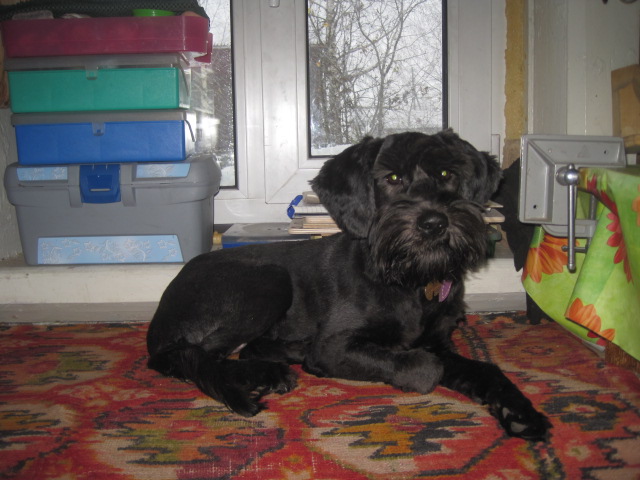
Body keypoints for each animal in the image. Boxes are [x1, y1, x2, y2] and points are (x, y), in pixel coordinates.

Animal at [146, 130, 550, 441]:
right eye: (391, 178)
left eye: (447, 172)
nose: (434, 222)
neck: (409, 281)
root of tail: (161, 312)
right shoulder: (334, 346)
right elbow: (423, 366)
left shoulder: (438, 342)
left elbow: (486, 369)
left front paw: (520, 413)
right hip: (268, 281)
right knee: (191, 357)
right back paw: (267, 373)